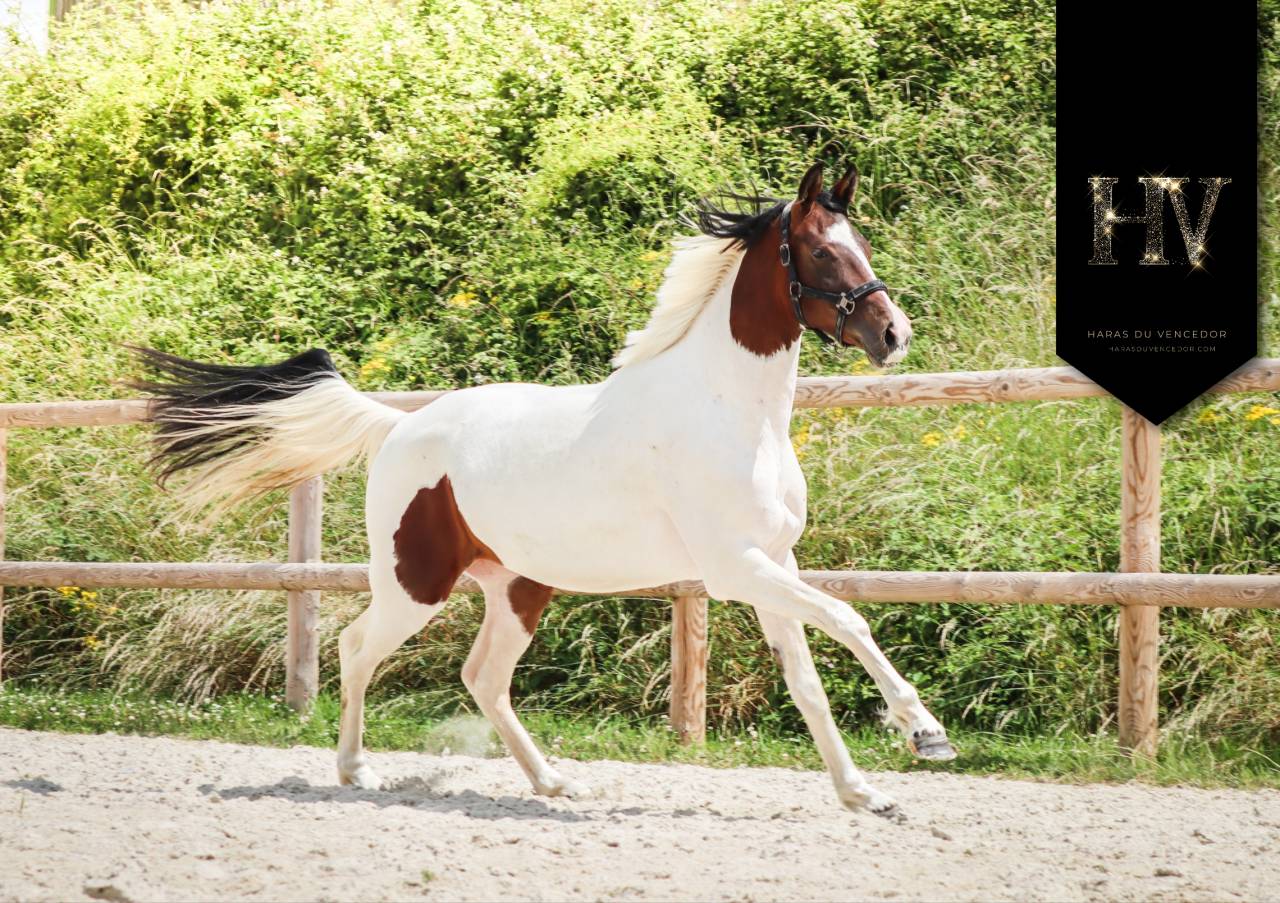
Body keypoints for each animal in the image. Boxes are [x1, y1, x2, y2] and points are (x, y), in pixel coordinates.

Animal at [133, 161, 955, 819]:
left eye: (862, 244)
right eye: (821, 249)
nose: (894, 335)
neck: (729, 411)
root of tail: (399, 426)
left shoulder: (773, 564)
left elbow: (808, 680)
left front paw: (864, 792)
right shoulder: (736, 568)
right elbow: (850, 617)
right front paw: (925, 734)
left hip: (518, 586)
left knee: (483, 677)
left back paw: (555, 783)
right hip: (414, 584)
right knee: (358, 646)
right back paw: (357, 771)